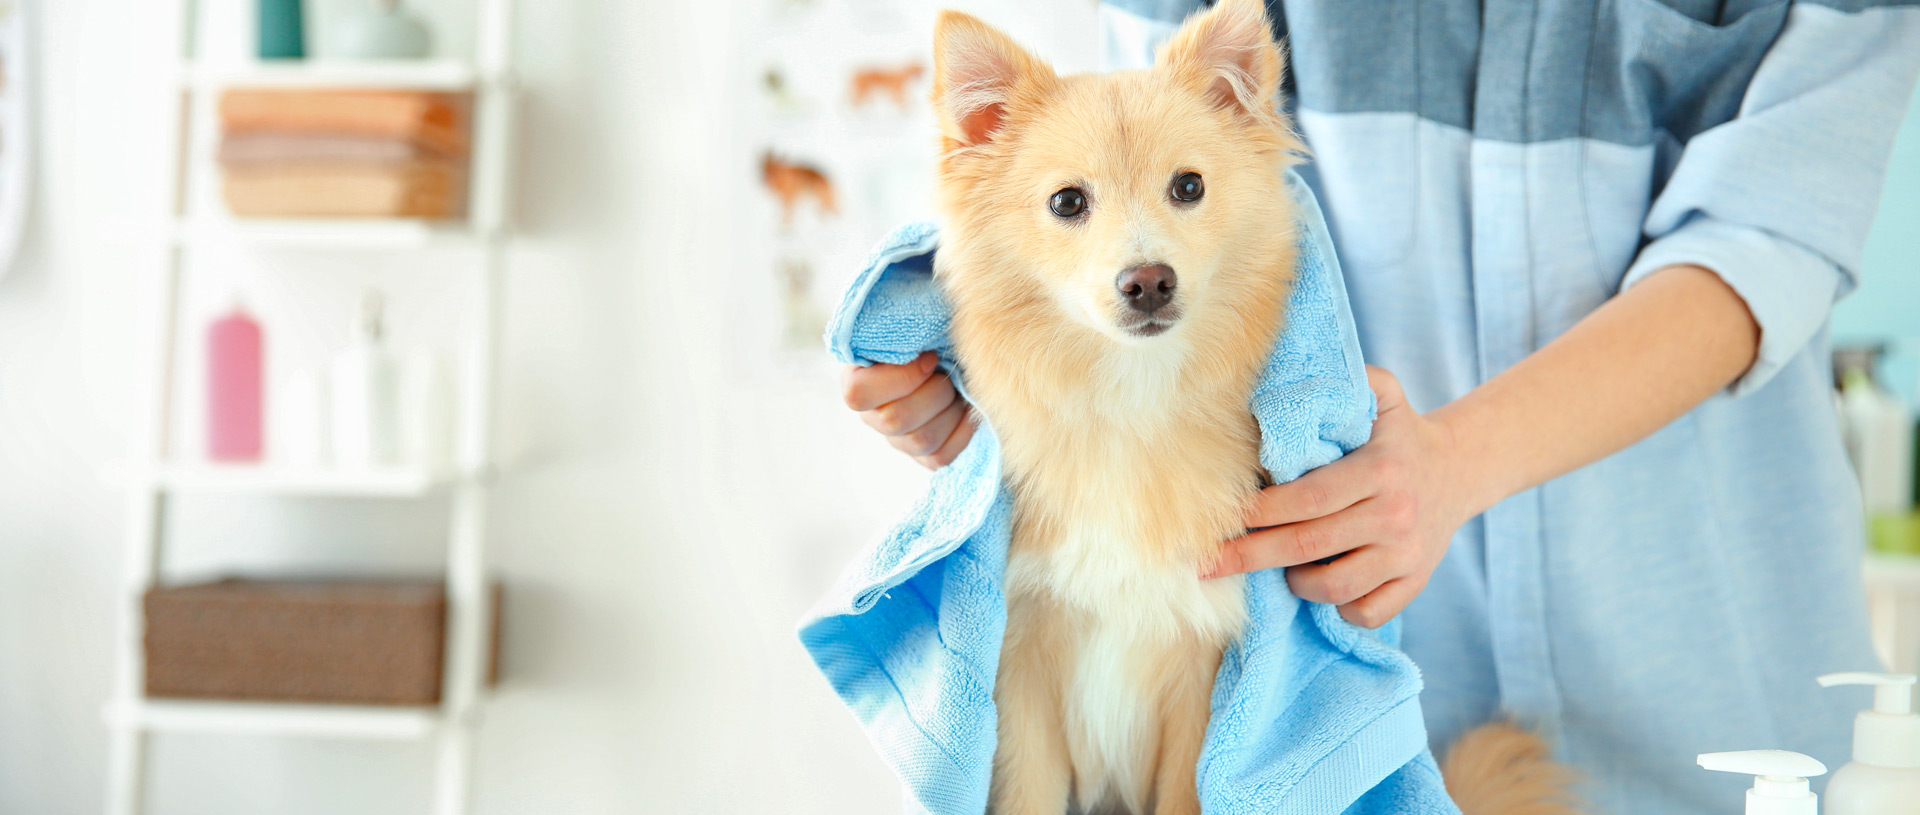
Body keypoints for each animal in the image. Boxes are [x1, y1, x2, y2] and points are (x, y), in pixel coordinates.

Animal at [921, 1, 1582, 815]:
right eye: (1067, 202)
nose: (1149, 280)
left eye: (1188, 187)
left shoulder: (1202, 675)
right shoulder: (1023, 670)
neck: (1134, 397)